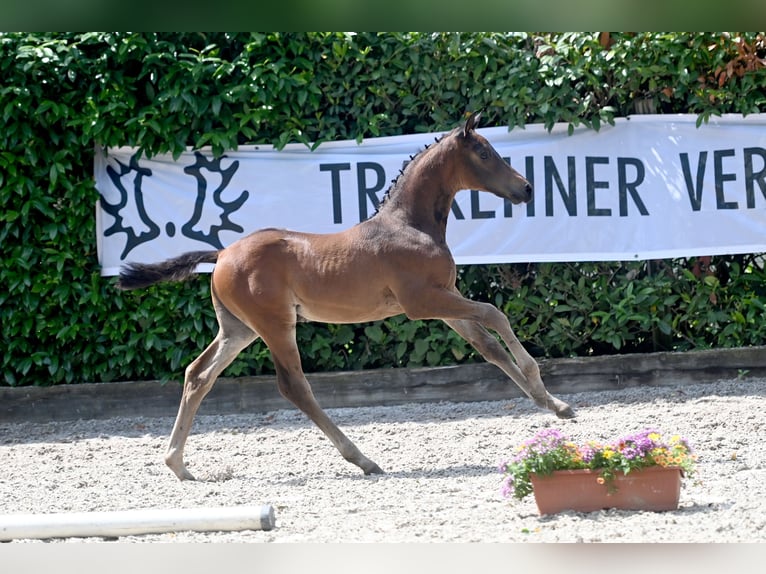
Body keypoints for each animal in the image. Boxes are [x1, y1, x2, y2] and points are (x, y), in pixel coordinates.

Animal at [117, 112, 576, 482]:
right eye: (483, 153)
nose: (527, 189)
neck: (410, 224)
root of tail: (223, 253)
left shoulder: (445, 299)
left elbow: (488, 347)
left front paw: (554, 404)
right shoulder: (423, 302)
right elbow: (495, 314)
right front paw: (543, 386)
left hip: (238, 330)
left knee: (198, 374)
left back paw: (178, 465)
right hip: (275, 325)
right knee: (293, 386)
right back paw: (364, 459)